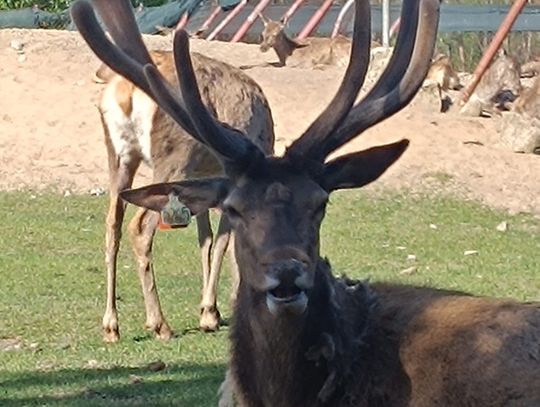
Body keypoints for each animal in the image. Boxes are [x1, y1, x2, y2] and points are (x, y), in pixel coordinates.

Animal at [89, 29, 274, 344]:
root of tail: (125, 92)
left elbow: (206, 238)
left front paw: (212, 309)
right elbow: (224, 240)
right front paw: (211, 313)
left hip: (118, 155)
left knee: (112, 223)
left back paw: (111, 325)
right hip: (173, 158)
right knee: (140, 226)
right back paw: (159, 323)